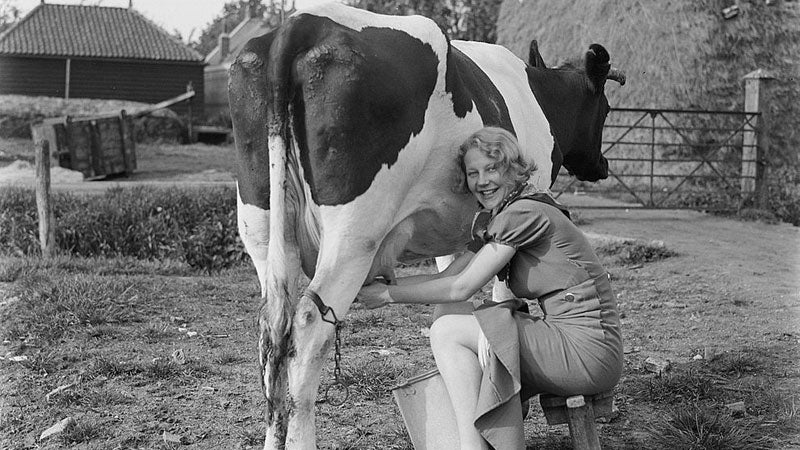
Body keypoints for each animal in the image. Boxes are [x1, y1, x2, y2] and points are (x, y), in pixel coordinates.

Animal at [228, 2, 628, 446]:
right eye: (606, 109)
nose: (602, 165)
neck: (538, 97)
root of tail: (301, 23)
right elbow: (505, 296)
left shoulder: (453, 234)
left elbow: (450, 298)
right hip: (354, 234)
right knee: (309, 326)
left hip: (262, 227)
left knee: (271, 331)